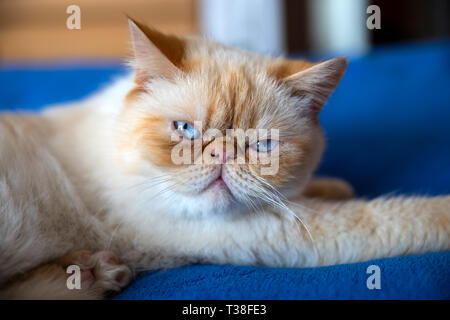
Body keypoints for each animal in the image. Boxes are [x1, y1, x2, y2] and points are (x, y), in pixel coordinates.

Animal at [0, 19, 448, 300]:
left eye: (261, 146)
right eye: (186, 130)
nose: (221, 154)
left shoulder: (283, 205)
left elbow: (307, 191)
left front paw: (335, 186)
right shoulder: (267, 232)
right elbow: (390, 215)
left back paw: (94, 273)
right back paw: (93, 275)